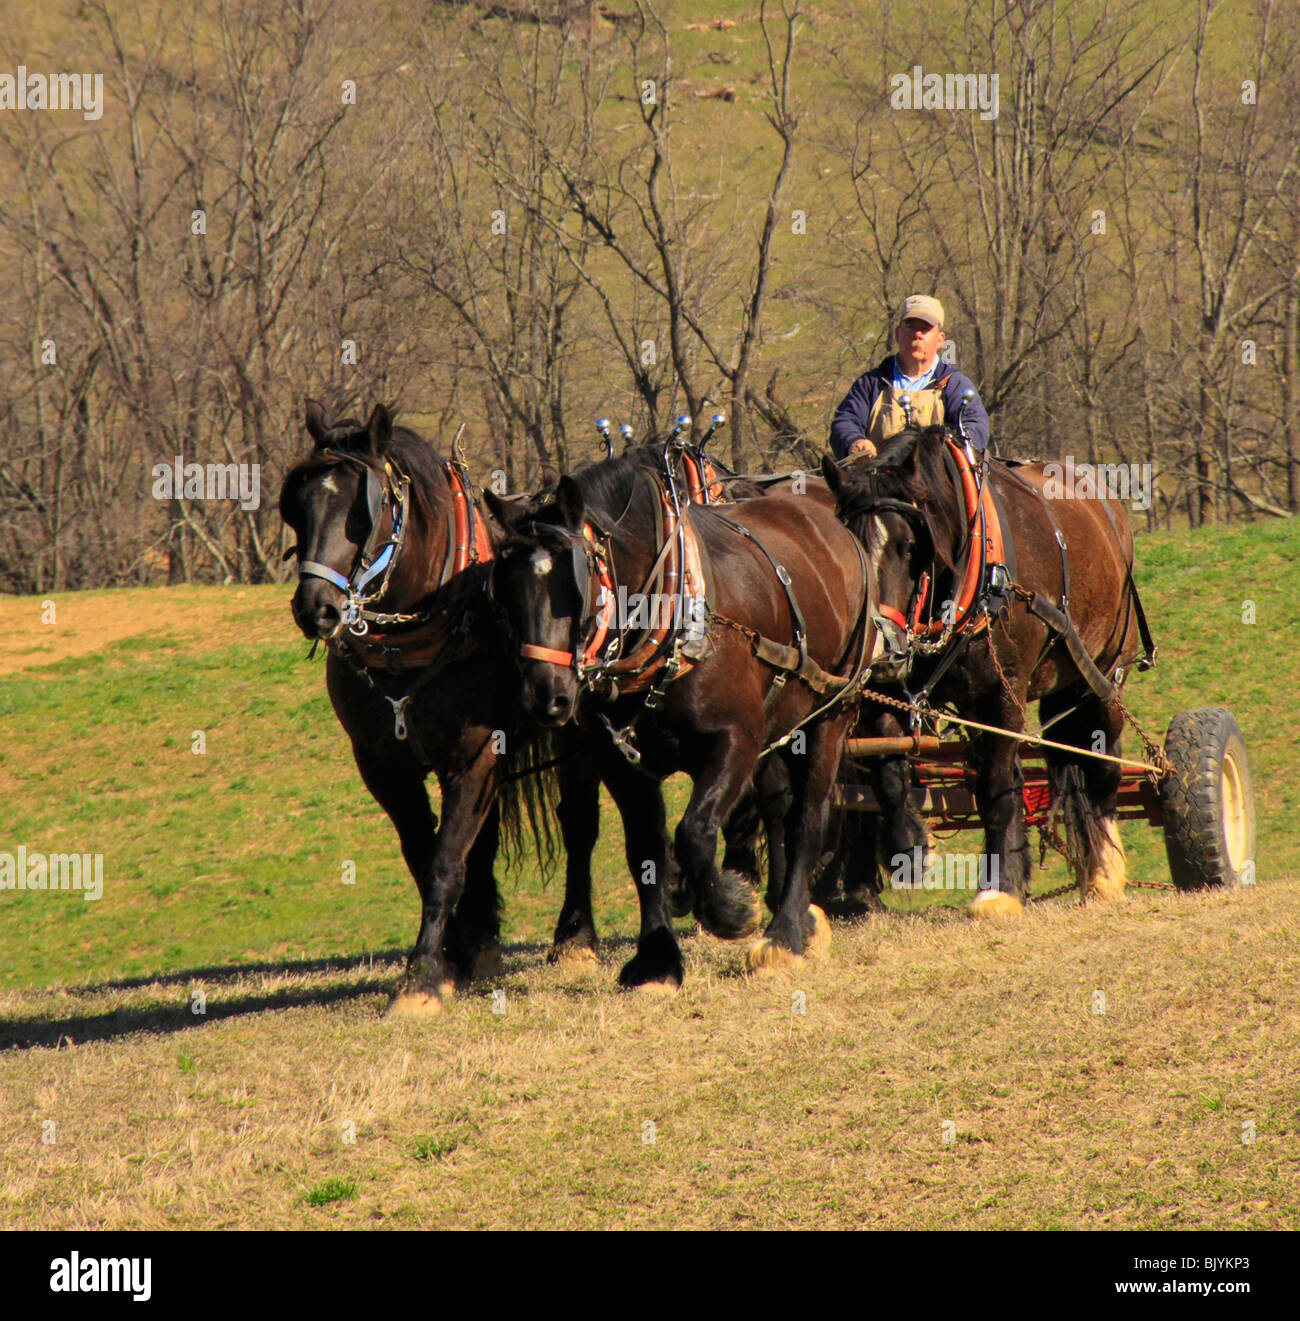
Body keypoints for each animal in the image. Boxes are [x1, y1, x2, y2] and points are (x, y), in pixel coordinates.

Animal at [485, 446, 877, 985]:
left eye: (574, 581)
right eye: (502, 588)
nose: (546, 696)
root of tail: (829, 523)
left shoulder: (736, 741)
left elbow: (695, 832)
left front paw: (732, 908)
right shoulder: (619, 761)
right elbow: (645, 848)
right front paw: (657, 958)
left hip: (833, 712)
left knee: (807, 816)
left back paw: (786, 932)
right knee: (777, 808)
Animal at [822, 424, 1154, 916]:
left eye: (909, 545)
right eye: (849, 548)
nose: (879, 649)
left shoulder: (1002, 692)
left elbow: (996, 786)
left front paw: (997, 887)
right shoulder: (895, 693)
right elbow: (889, 772)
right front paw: (911, 847)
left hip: (1105, 673)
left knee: (1101, 764)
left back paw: (1105, 874)